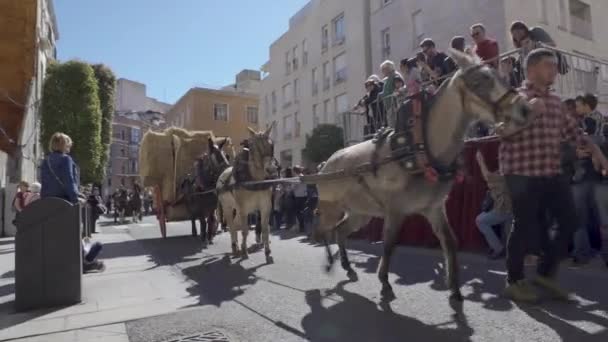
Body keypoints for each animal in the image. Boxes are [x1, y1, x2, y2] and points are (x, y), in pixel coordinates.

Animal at [217, 124, 276, 260]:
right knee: (232, 226)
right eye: (254, 147)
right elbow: (244, 230)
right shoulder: (243, 208)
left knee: (235, 224)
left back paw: (237, 247)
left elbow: (265, 228)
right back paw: (235, 247)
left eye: (271, 145)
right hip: (227, 206)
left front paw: (267, 252)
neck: (255, 180)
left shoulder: (265, 207)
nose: (270, 170)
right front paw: (244, 251)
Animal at [314, 48, 532, 302]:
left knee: (340, 231)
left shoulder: (434, 208)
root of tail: (325, 165)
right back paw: (329, 263)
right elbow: (389, 244)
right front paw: (385, 283)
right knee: (323, 229)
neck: (421, 148)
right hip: (331, 207)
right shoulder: (395, 210)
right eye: (480, 81)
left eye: (499, 75)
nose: (525, 109)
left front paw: (454, 288)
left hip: (361, 212)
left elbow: (449, 242)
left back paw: (347, 266)